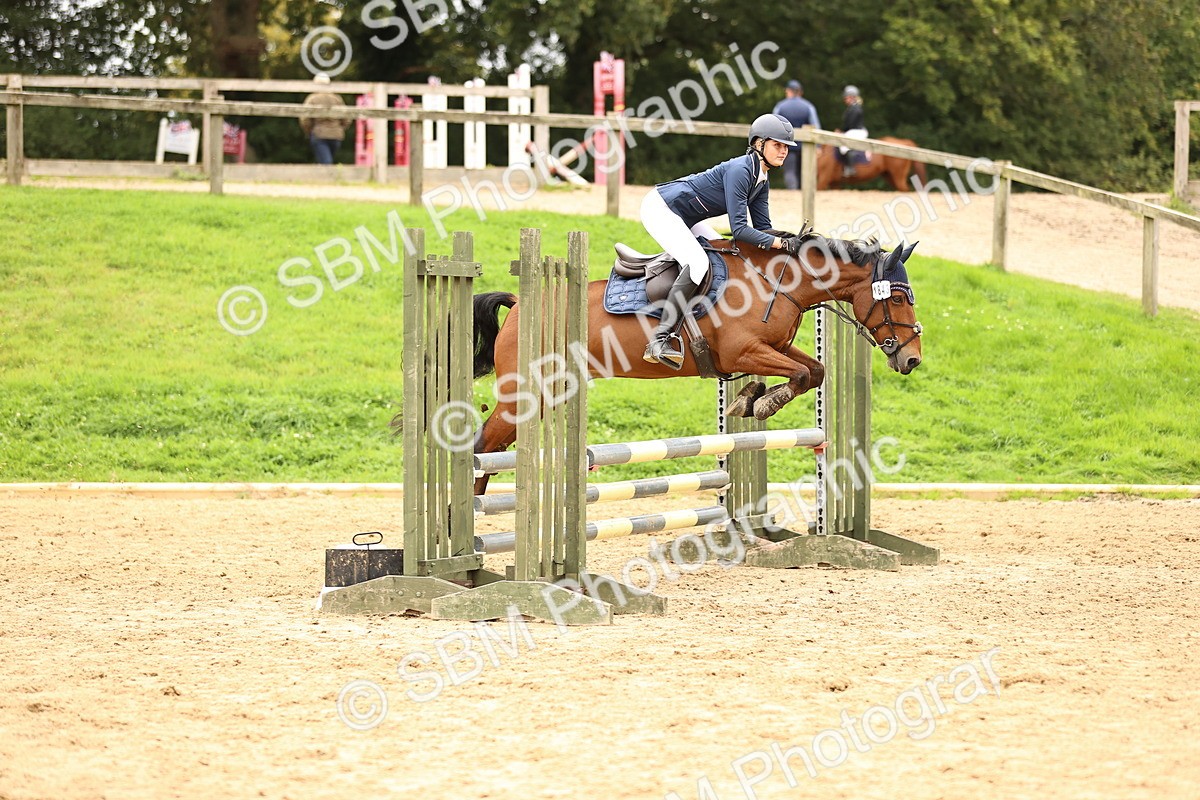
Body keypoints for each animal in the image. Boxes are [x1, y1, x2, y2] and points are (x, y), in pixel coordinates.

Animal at [470, 235, 923, 494]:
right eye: (899, 297)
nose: (912, 358)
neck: (777, 282)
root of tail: (520, 303)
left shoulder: (773, 346)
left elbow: (814, 371)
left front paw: (750, 397)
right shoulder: (742, 350)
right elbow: (798, 373)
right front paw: (760, 402)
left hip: (550, 393)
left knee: (495, 449)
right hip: (523, 394)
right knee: (482, 447)